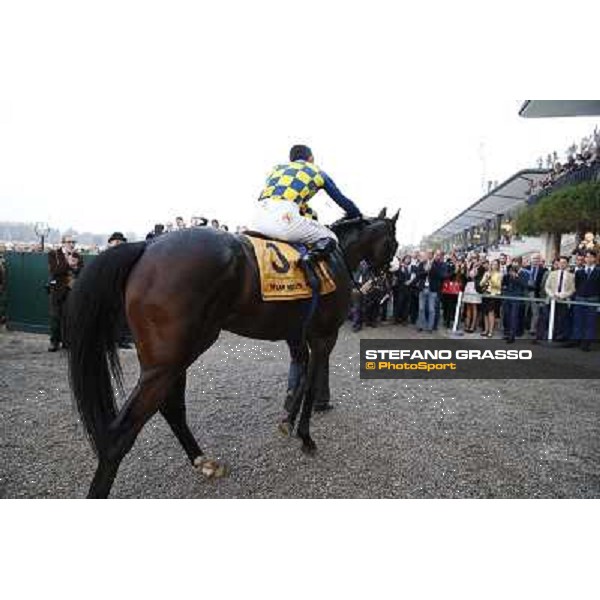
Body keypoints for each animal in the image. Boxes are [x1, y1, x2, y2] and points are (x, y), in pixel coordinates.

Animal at [67, 206, 398, 496]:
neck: (336, 257)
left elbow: (301, 378)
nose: (385, 280)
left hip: (175, 356)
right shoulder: (324, 336)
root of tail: (146, 247)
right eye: (394, 242)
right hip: (170, 359)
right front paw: (305, 436)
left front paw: (287, 421)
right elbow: (311, 383)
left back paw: (203, 461)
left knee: (171, 407)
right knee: (120, 433)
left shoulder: (297, 335)